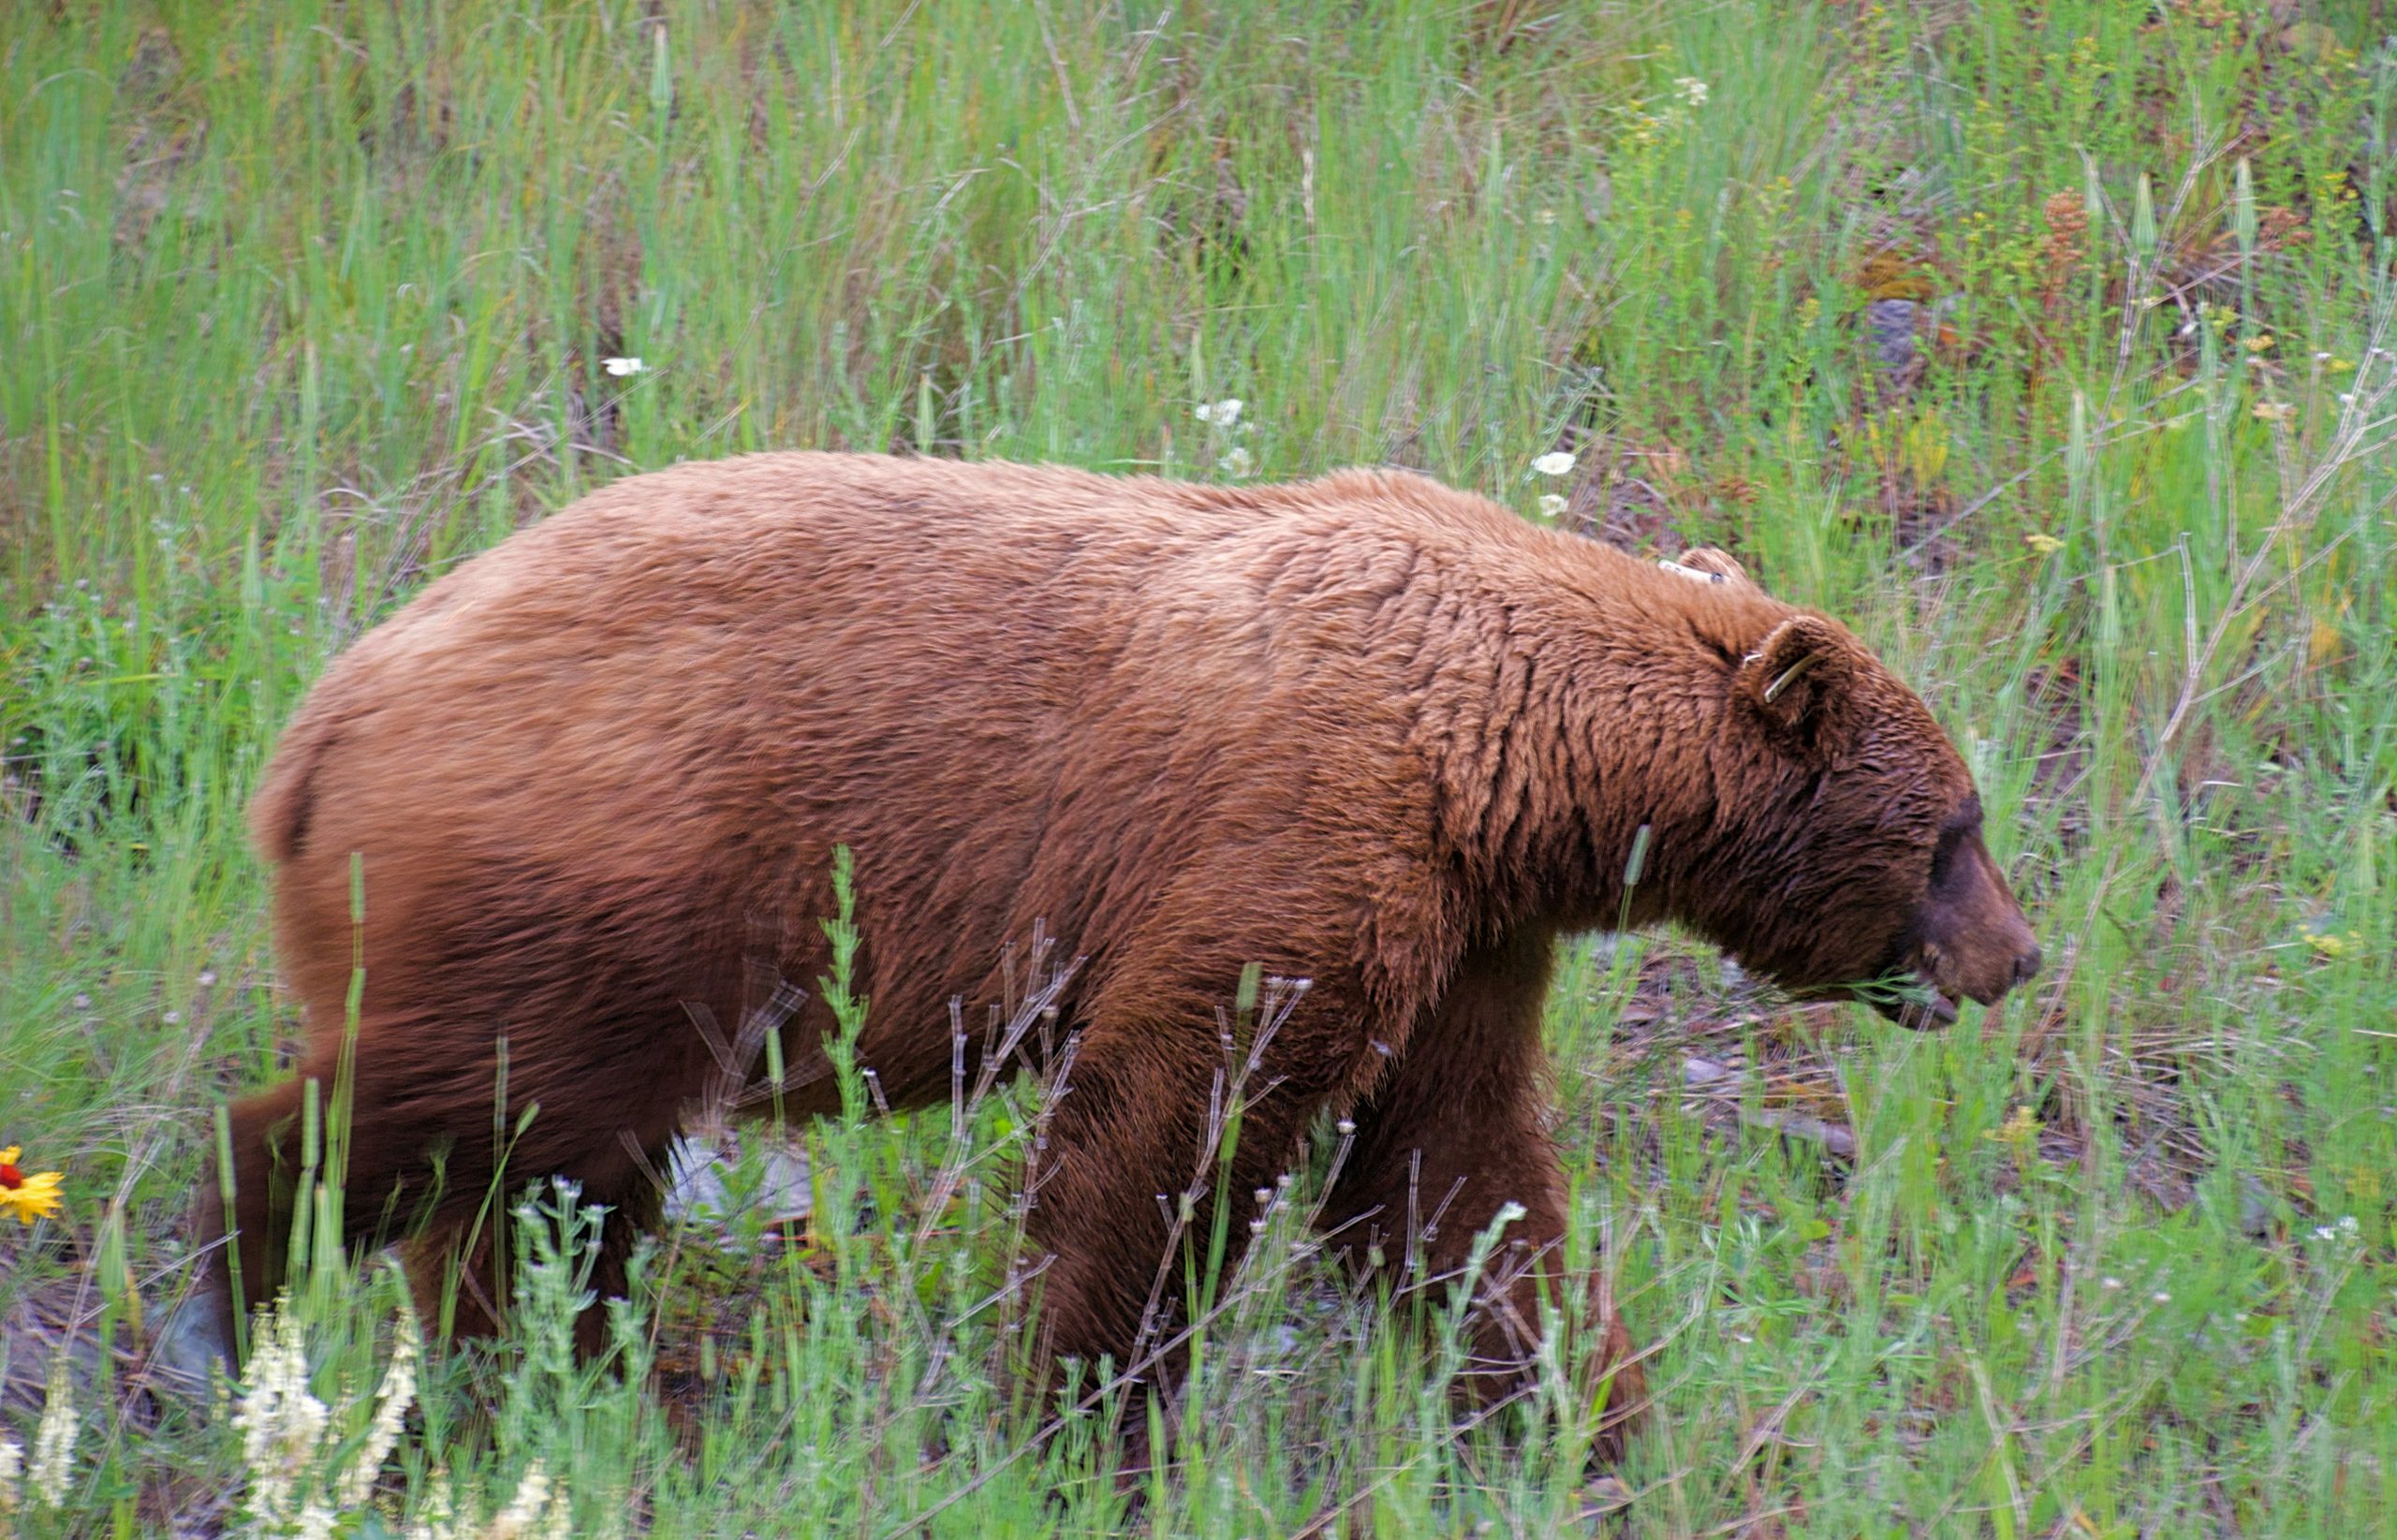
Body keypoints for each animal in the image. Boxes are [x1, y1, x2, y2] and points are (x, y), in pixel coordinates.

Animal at [196, 445, 2042, 1446]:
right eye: (1952, 827)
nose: (2018, 956)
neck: (1503, 760)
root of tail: (312, 731)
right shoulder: (1298, 833)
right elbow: (1168, 1138)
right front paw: (1082, 1416)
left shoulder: (1466, 931)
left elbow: (1454, 1186)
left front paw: (1572, 1423)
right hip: (591, 890)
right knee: (451, 1120)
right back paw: (240, 1306)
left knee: (539, 1189)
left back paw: (554, 1379)